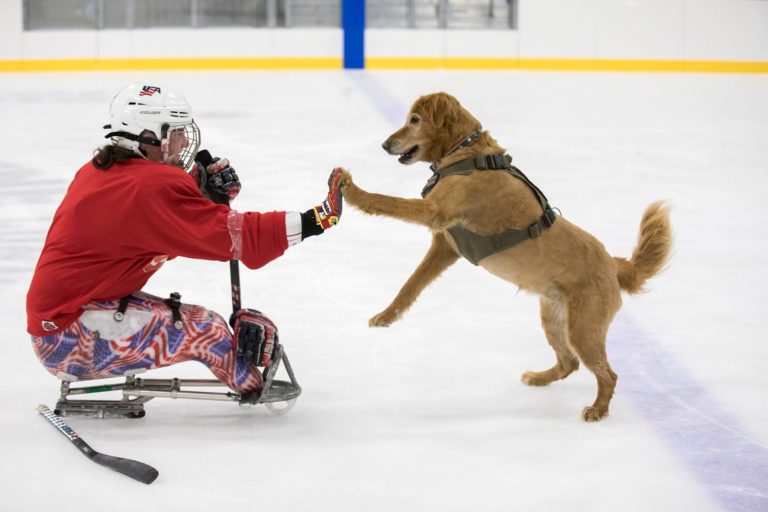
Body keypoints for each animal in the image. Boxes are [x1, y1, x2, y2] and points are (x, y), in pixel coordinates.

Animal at [342, 92, 672, 420]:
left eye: (415, 120)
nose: (385, 144)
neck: (465, 152)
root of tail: (615, 264)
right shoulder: (444, 246)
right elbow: (410, 286)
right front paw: (387, 315)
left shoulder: (434, 213)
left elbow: (385, 201)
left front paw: (352, 190)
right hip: (554, 319)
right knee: (569, 363)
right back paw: (538, 378)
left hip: (583, 329)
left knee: (608, 374)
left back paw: (598, 409)